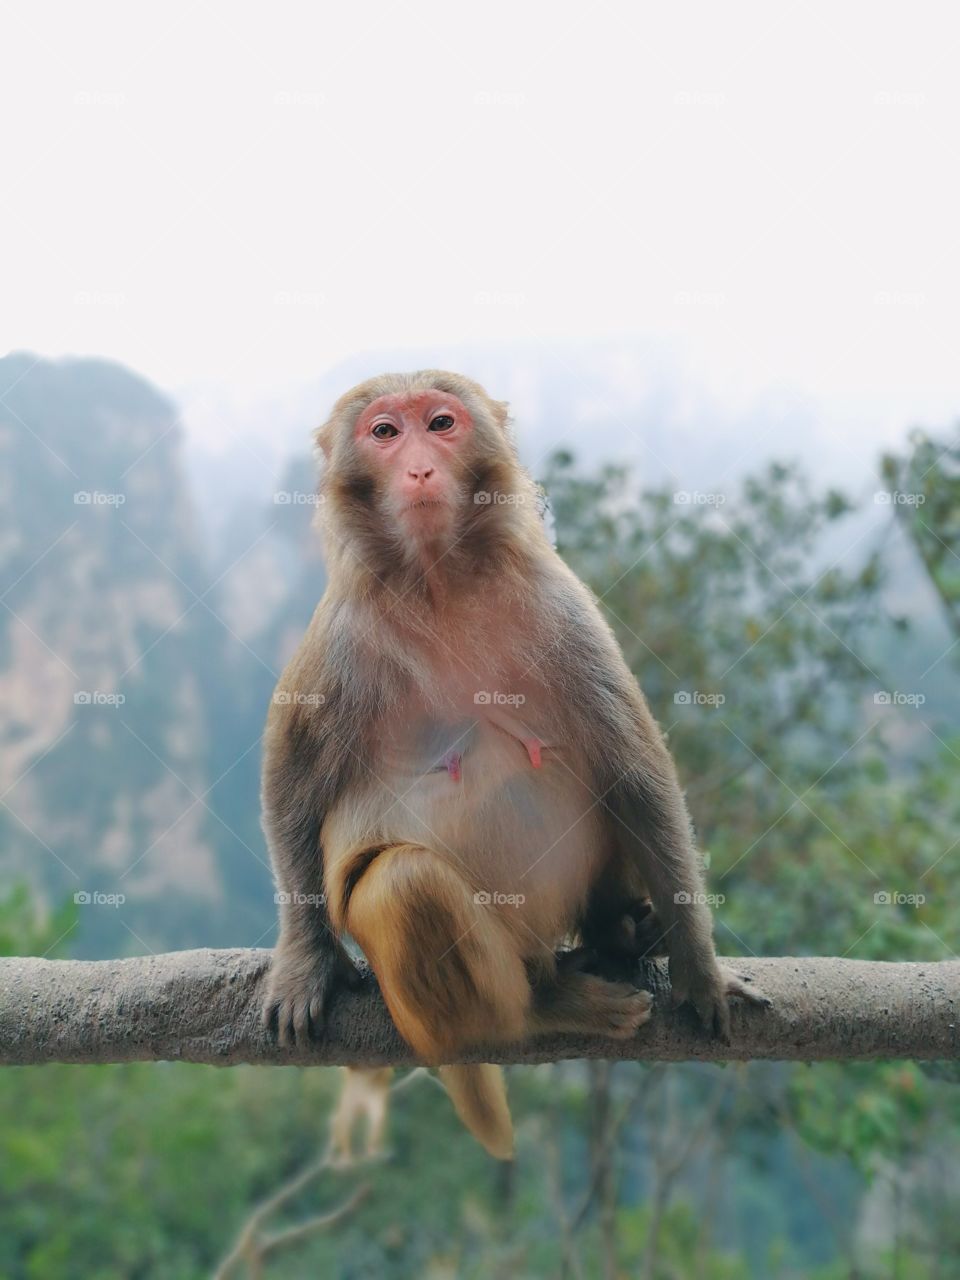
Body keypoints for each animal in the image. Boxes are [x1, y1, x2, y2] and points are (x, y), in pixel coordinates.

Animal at [261, 369, 768, 1160]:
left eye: (440, 424)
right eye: (385, 432)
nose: (418, 466)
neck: (439, 579)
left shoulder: (559, 603)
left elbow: (635, 771)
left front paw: (698, 968)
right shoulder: (343, 631)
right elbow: (292, 779)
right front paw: (306, 961)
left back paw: (621, 931)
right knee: (403, 884)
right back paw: (541, 1010)